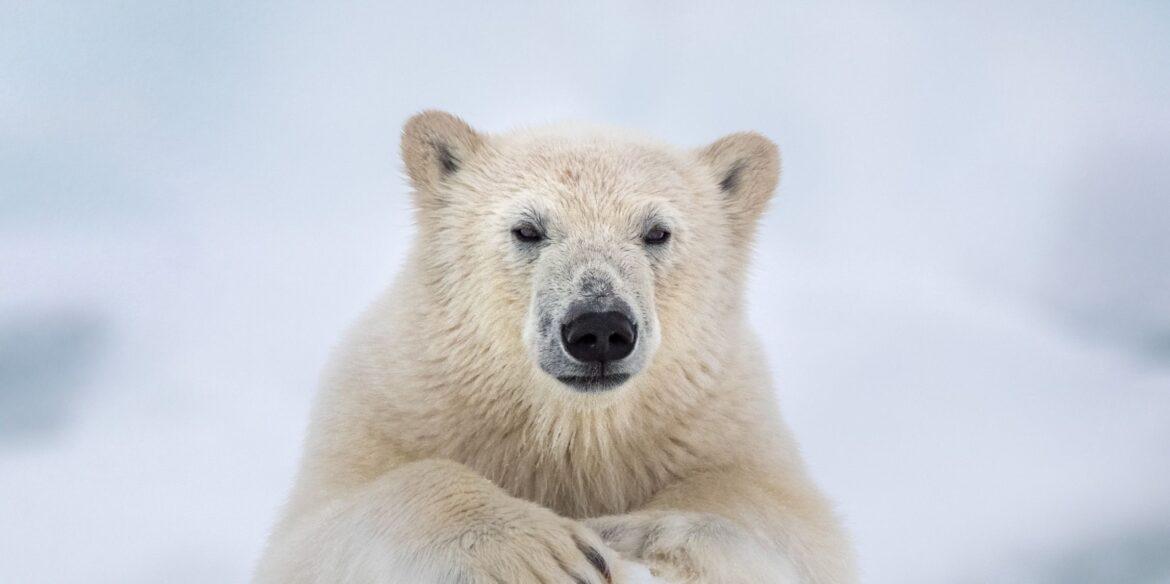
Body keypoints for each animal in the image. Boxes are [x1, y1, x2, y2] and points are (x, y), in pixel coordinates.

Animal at [254, 111, 857, 584]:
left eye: (657, 232)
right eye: (527, 229)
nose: (599, 328)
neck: (573, 430)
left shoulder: (718, 420)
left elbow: (798, 528)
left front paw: (629, 533)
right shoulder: (393, 406)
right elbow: (316, 533)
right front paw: (544, 551)